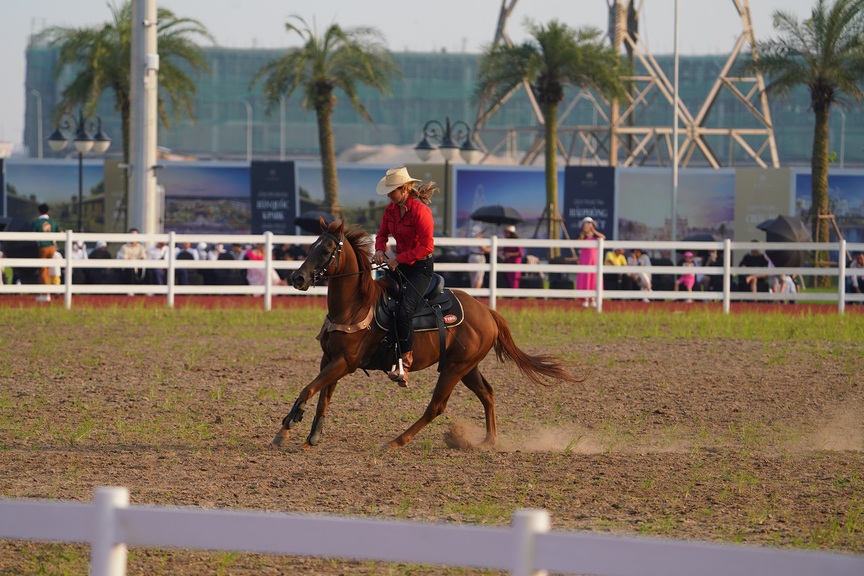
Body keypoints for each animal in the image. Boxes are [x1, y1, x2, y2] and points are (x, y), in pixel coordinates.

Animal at [272, 218, 580, 448]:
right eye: (311, 246)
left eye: (326, 250)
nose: (297, 277)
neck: (354, 306)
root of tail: (487, 312)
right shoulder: (330, 358)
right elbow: (322, 395)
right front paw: (311, 436)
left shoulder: (345, 362)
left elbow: (310, 387)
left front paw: (286, 427)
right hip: (466, 367)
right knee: (487, 394)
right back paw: (488, 441)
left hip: (453, 370)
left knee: (436, 407)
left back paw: (396, 441)